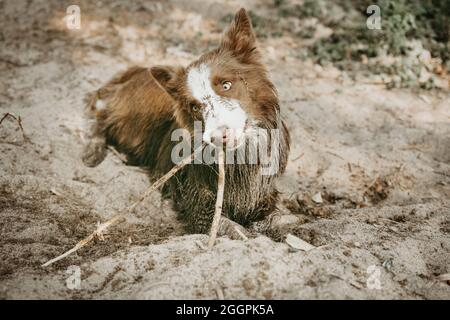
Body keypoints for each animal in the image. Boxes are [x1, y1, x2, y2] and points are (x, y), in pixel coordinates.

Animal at [82, 8, 290, 238]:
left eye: (226, 85)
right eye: (195, 107)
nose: (218, 138)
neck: (239, 157)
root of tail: (137, 69)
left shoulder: (265, 194)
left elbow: (274, 218)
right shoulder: (199, 205)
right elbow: (231, 227)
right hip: (133, 117)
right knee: (102, 116)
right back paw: (93, 150)